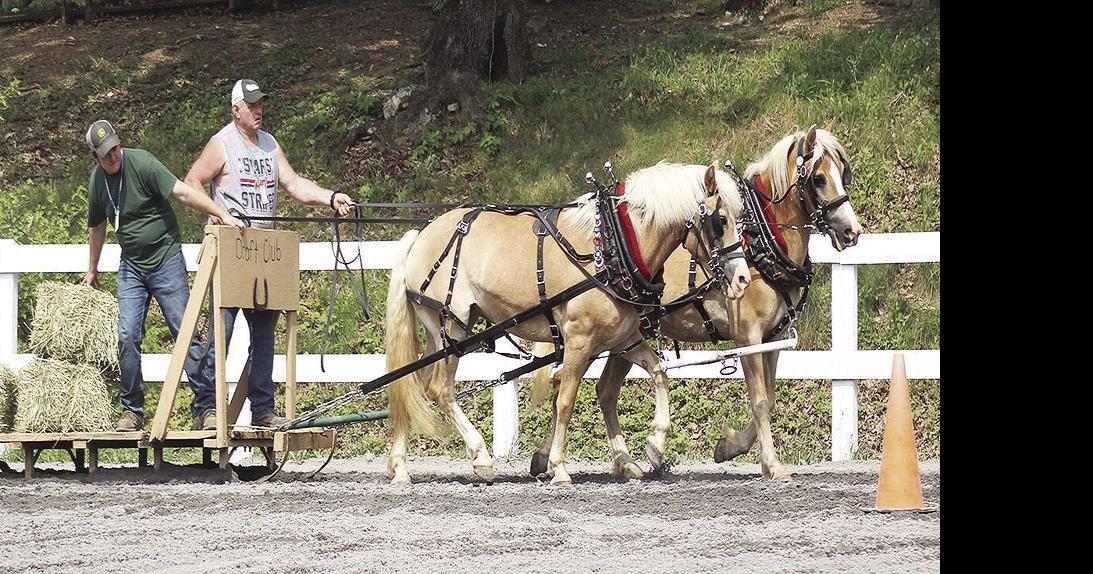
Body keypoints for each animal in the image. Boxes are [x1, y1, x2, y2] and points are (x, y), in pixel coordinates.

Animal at [384, 162, 752, 485]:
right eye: (720, 221)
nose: (743, 279)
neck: (615, 246)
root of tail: (420, 235)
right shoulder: (578, 340)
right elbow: (565, 400)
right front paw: (558, 467)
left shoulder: (622, 338)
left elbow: (658, 372)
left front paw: (655, 443)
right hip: (452, 327)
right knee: (440, 389)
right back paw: (481, 458)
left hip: (442, 333)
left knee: (410, 384)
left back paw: (400, 466)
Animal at [531, 125, 864, 481]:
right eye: (818, 178)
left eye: (844, 173)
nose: (852, 231)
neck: (761, 241)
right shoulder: (748, 335)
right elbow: (760, 400)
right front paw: (771, 464)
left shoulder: (771, 338)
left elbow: (771, 398)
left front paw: (729, 447)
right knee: (572, 386)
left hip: (619, 336)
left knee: (600, 390)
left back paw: (597, 460)